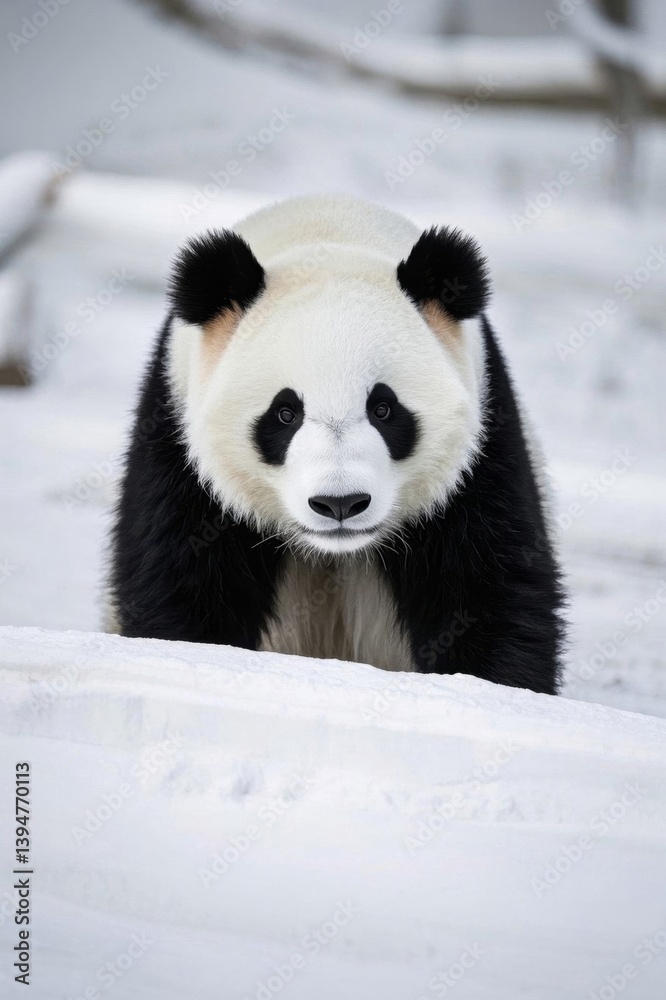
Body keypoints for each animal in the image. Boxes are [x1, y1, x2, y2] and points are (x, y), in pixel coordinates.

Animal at [108, 194, 564, 694]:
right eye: (285, 413)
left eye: (383, 409)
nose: (340, 503)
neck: (328, 231)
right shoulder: (175, 441)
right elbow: (182, 586)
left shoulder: (484, 449)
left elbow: (490, 589)